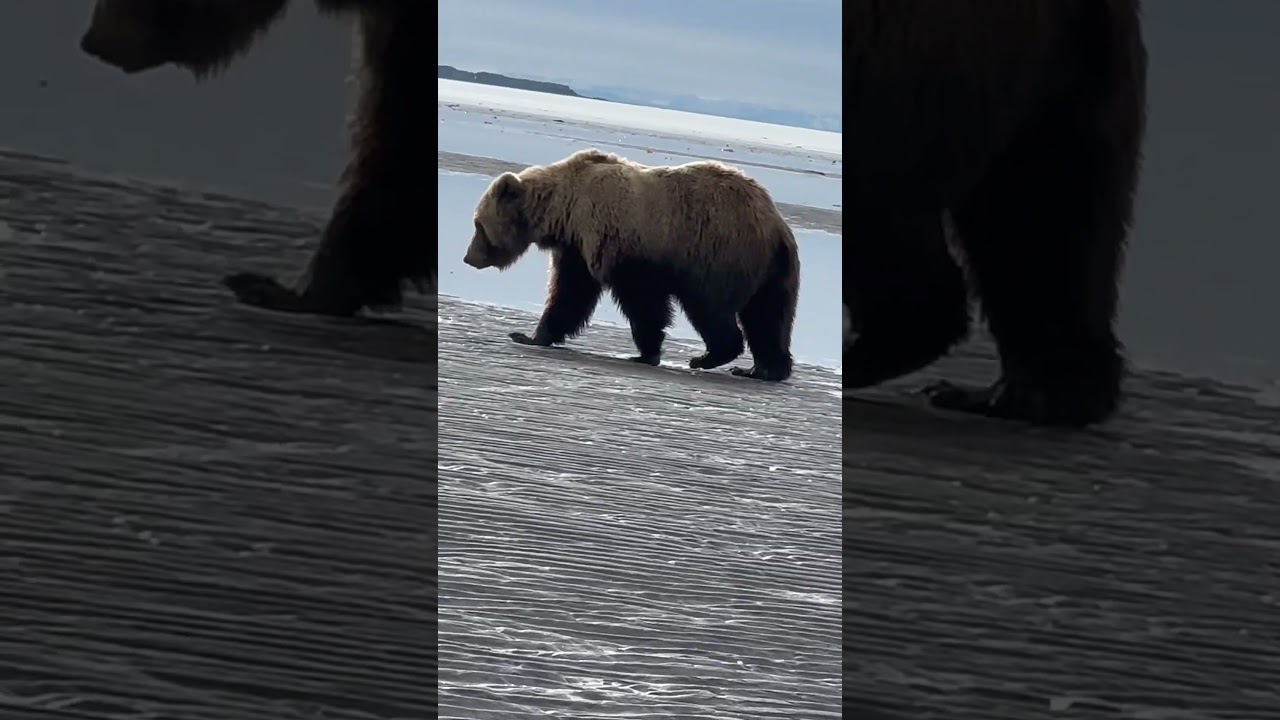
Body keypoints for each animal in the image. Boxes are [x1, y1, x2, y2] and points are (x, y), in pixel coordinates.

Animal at [462, 149, 801, 382]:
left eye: (478, 224)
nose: (468, 257)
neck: (563, 211)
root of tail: (775, 225)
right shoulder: (576, 249)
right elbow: (570, 294)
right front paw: (532, 335)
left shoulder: (624, 244)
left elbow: (642, 302)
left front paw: (645, 352)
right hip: (775, 270)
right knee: (770, 316)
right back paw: (765, 369)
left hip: (717, 253)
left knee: (711, 307)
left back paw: (709, 356)